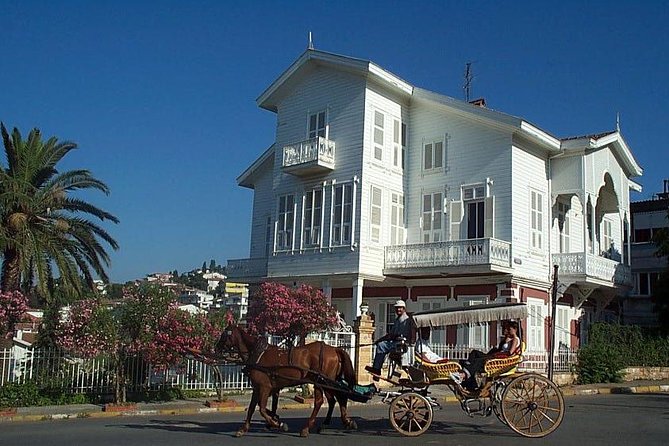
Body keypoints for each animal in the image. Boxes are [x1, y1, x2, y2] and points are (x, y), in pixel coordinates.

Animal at [217, 322, 358, 438]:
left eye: (224, 334)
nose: (216, 347)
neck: (257, 354)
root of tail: (334, 349)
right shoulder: (258, 387)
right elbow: (253, 407)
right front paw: (244, 429)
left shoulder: (265, 386)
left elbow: (262, 408)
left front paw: (277, 424)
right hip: (326, 381)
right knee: (334, 399)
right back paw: (337, 423)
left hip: (321, 381)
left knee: (321, 401)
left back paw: (308, 428)